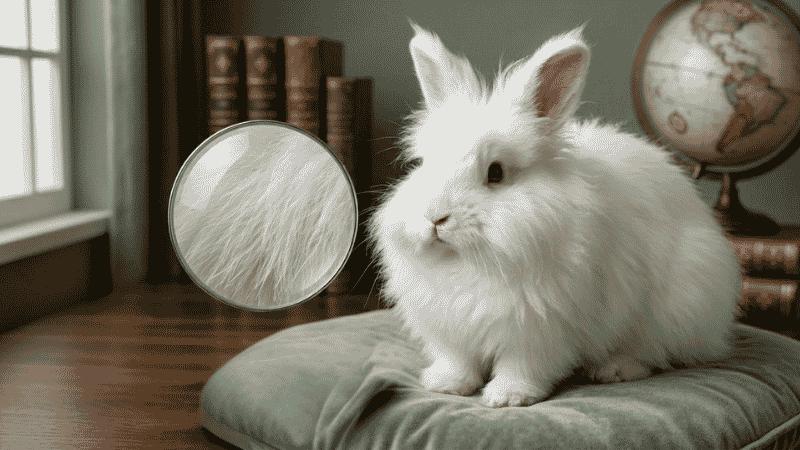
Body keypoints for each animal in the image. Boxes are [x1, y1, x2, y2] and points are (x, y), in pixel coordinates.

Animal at [368, 24, 741, 408]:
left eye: (496, 173)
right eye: (423, 164)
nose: (434, 218)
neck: (468, 264)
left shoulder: (538, 328)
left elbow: (522, 364)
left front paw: (508, 396)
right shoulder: (450, 329)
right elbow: (458, 360)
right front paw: (446, 385)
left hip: (677, 304)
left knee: (652, 350)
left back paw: (615, 369)